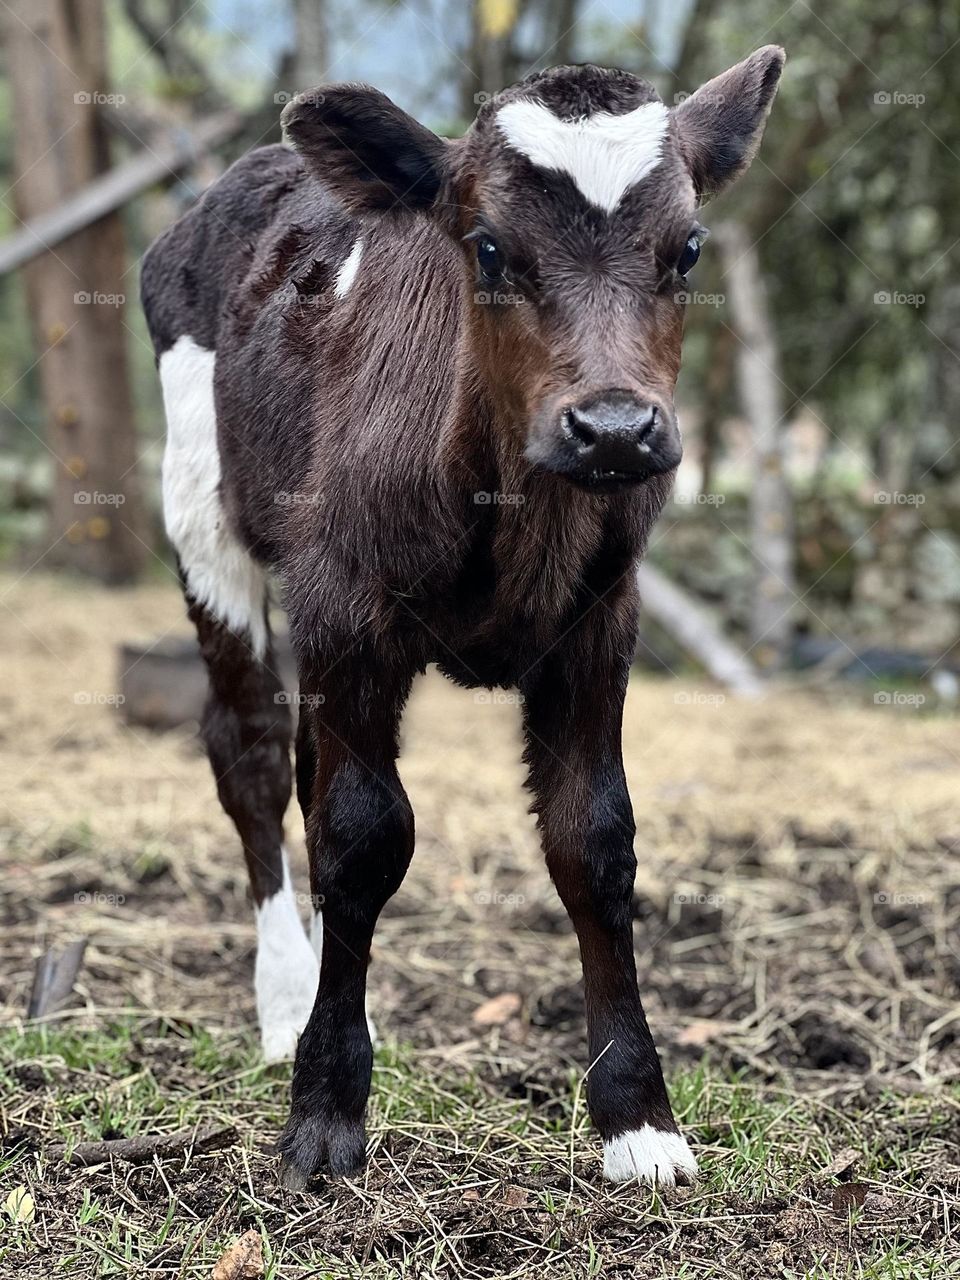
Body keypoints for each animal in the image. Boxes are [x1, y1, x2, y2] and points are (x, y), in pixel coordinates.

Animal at [141, 46, 785, 1189]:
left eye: (689, 248)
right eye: (488, 247)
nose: (613, 426)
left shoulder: (602, 617)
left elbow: (593, 840)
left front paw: (640, 1119)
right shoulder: (344, 598)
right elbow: (361, 836)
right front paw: (325, 1111)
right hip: (204, 517)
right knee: (253, 756)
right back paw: (283, 1000)